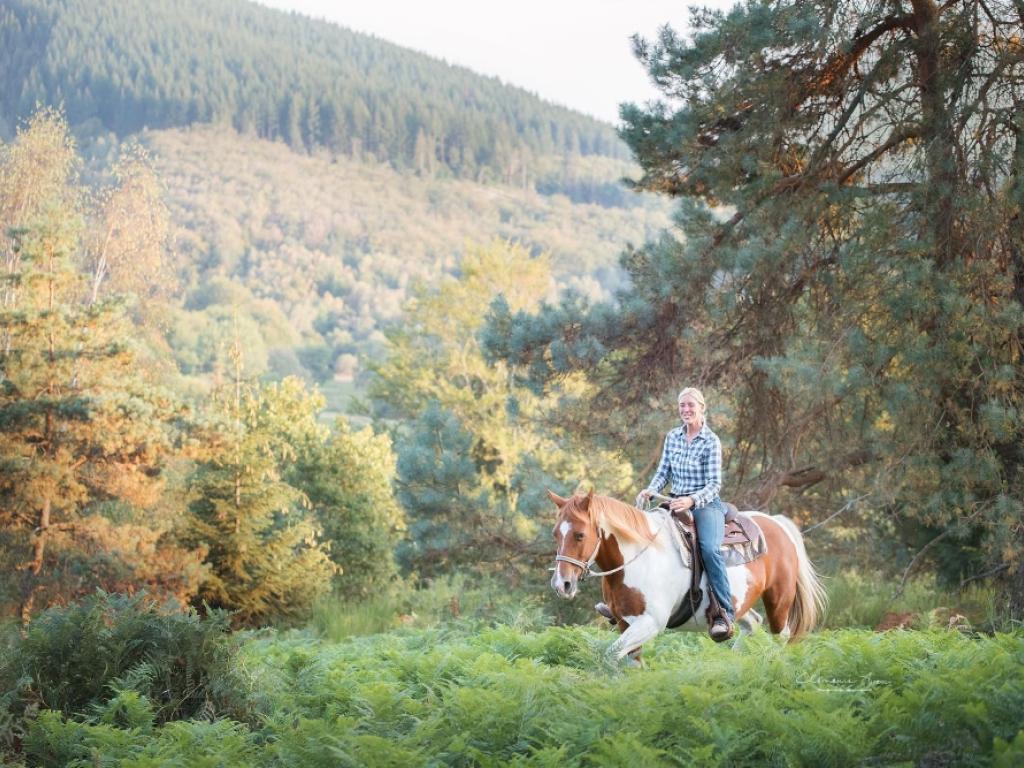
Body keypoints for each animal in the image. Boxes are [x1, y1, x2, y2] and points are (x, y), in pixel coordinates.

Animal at [548, 493, 827, 663]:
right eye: (555, 534)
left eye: (580, 535)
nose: (562, 584)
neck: (640, 556)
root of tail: (777, 523)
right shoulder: (625, 623)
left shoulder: (650, 623)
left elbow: (609, 656)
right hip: (738, 604)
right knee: (752, 623)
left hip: (779, 601)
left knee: (782, 636)